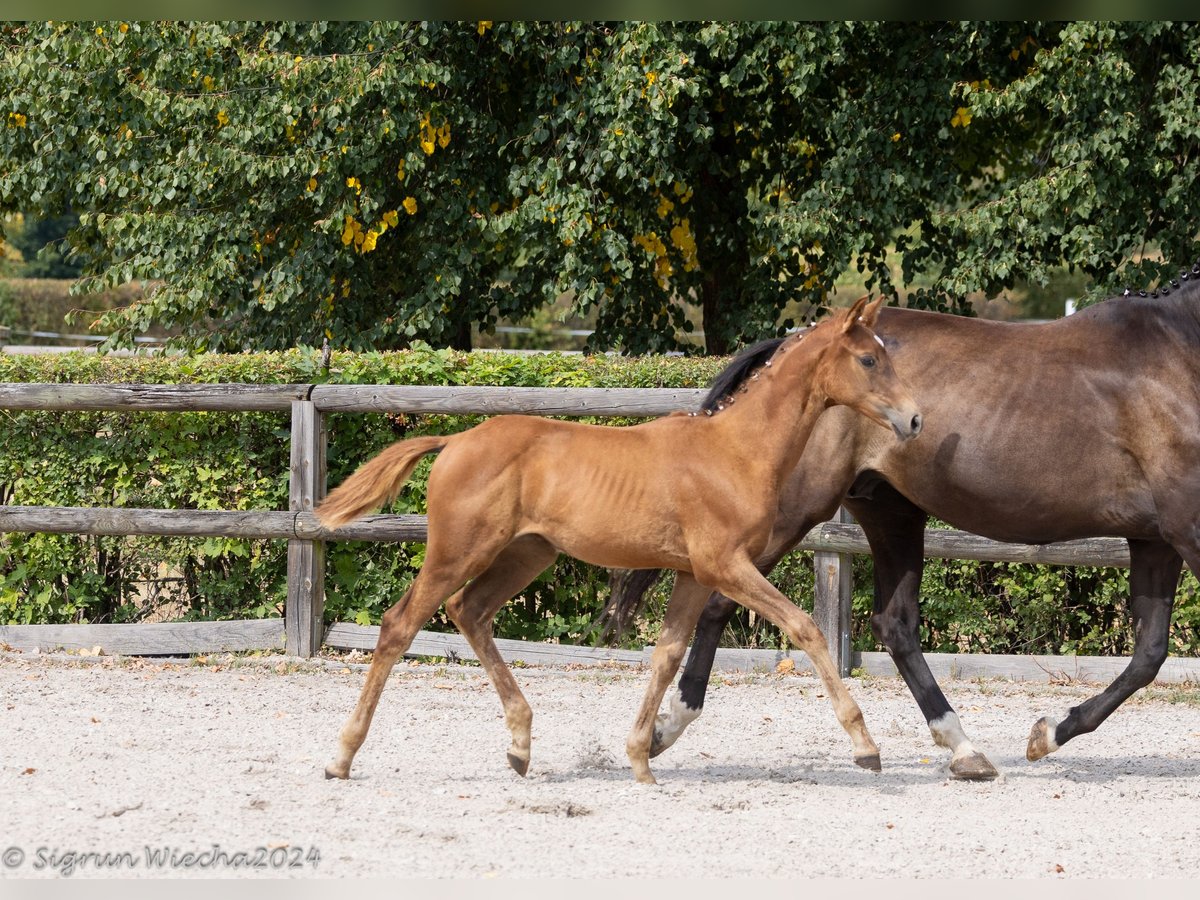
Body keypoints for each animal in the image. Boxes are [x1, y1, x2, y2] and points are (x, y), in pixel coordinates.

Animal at [314, 300, 921, 787]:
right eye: (868, 360)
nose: (914, 419)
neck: (735, 450)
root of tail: (456, 439)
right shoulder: (724, 566)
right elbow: (806, 628)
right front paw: (866, 748)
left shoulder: (693, 574)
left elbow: (666, 655)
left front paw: (641, 759)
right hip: (457, 552)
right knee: (400, 625)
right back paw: (341, 756)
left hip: (526, 553)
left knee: (470, 611)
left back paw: (520, 746)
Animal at [614, 273, 1200, 782]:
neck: (1181, 351)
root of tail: (796, 343)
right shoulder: (1185, 532)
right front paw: (1045, 735)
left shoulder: (1157, 539)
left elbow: (1148, 654)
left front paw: (1047, 734)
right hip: (794, 512)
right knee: (720, 603)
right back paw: (668, 727)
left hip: (891, 513)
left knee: (894, 624)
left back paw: (964, 749)